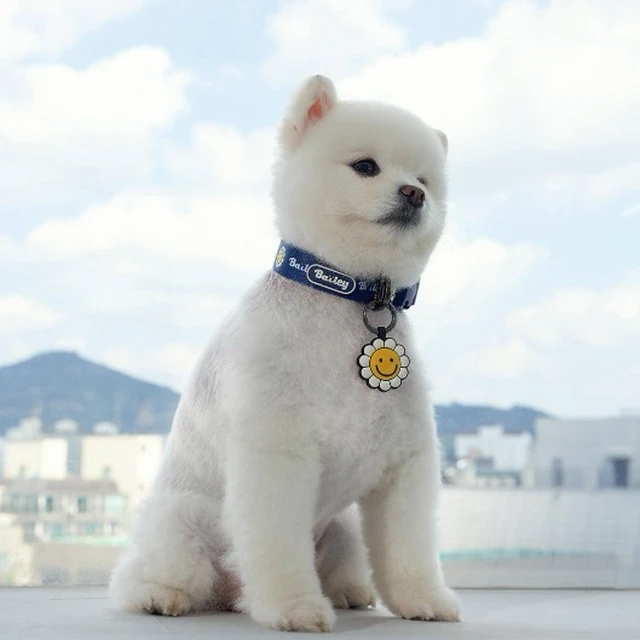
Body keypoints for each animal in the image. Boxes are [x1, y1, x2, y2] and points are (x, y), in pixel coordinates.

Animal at [109, 74, 461, 632]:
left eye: (425, 178)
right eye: (366, 166)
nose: (414, 194)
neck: (351, 296)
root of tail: (230, 592)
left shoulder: (403, 466)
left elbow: (408, 550)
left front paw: (423, 600)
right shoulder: (278, 454)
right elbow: (277, 546)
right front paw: (294, 609)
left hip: (340, 531)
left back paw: (350, 592)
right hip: (182, 522)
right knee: (152, 573)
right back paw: (161, 596)